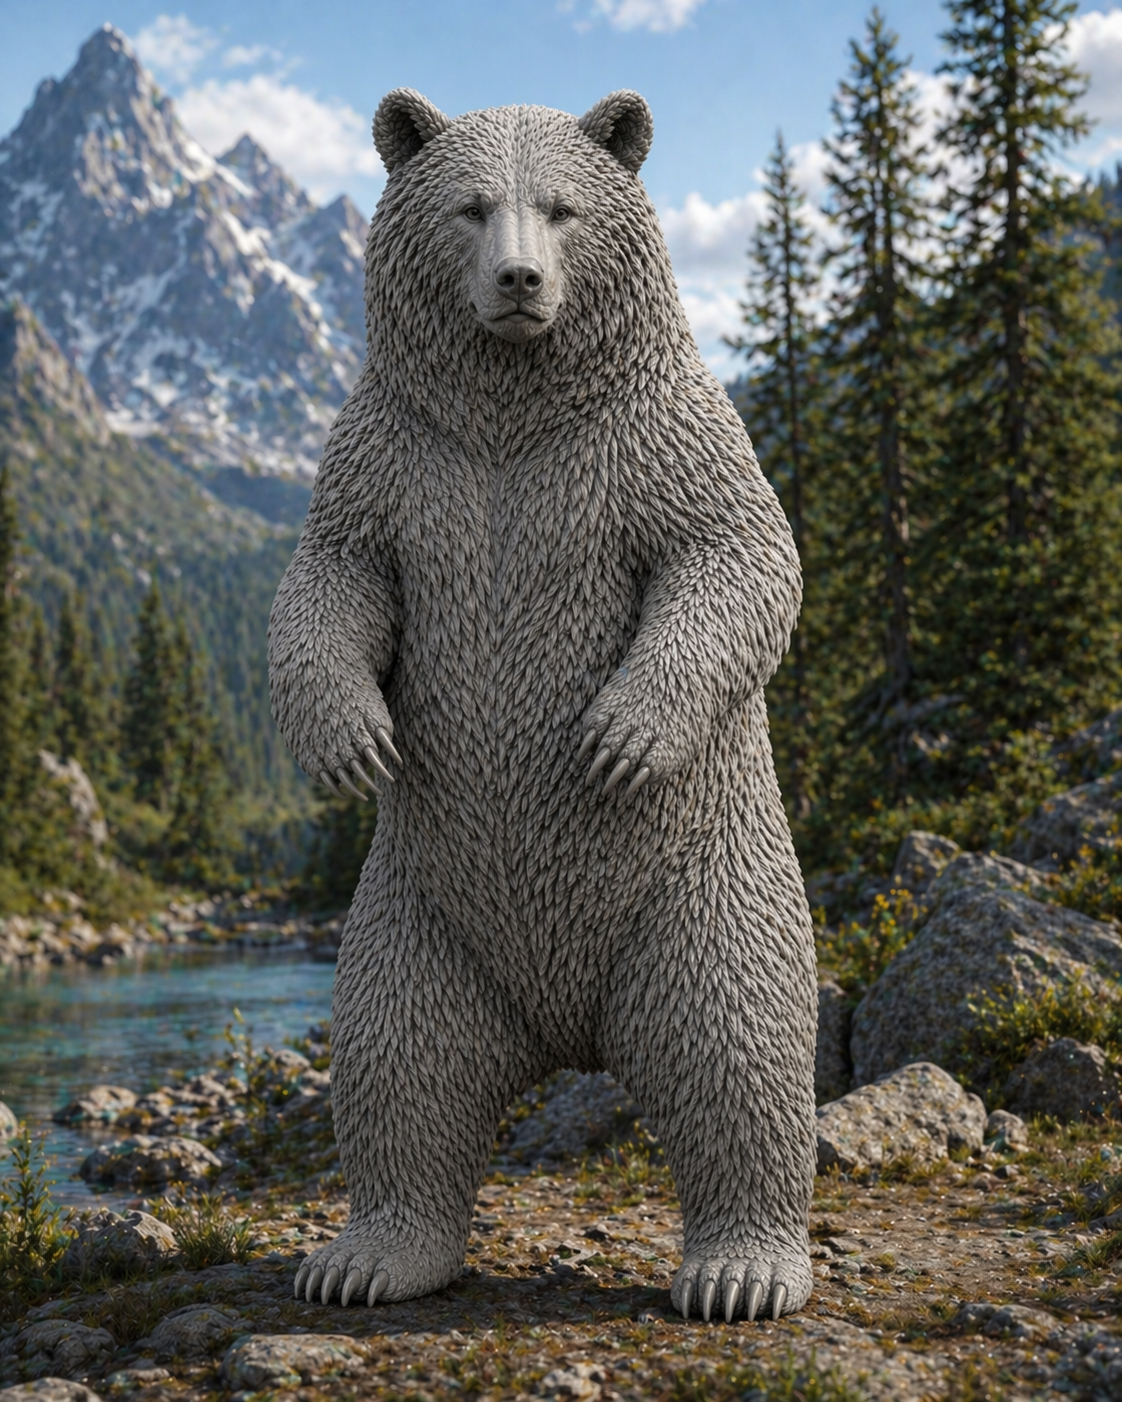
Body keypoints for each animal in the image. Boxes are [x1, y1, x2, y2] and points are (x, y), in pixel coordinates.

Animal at [268, 87, 816, 1324]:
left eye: (561, 208)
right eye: (473, 206)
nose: (519, 280)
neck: (510, 412)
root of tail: (570, 1035)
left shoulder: (661, 441)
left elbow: (738, 558)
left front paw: (620, 732)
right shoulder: (392, 460)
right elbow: (331, 580)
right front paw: (352, 740)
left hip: (704, 896)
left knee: (738, 1052)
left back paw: (742, 1270)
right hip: (417, 923)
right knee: (396, 1068)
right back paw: (364, 1257)